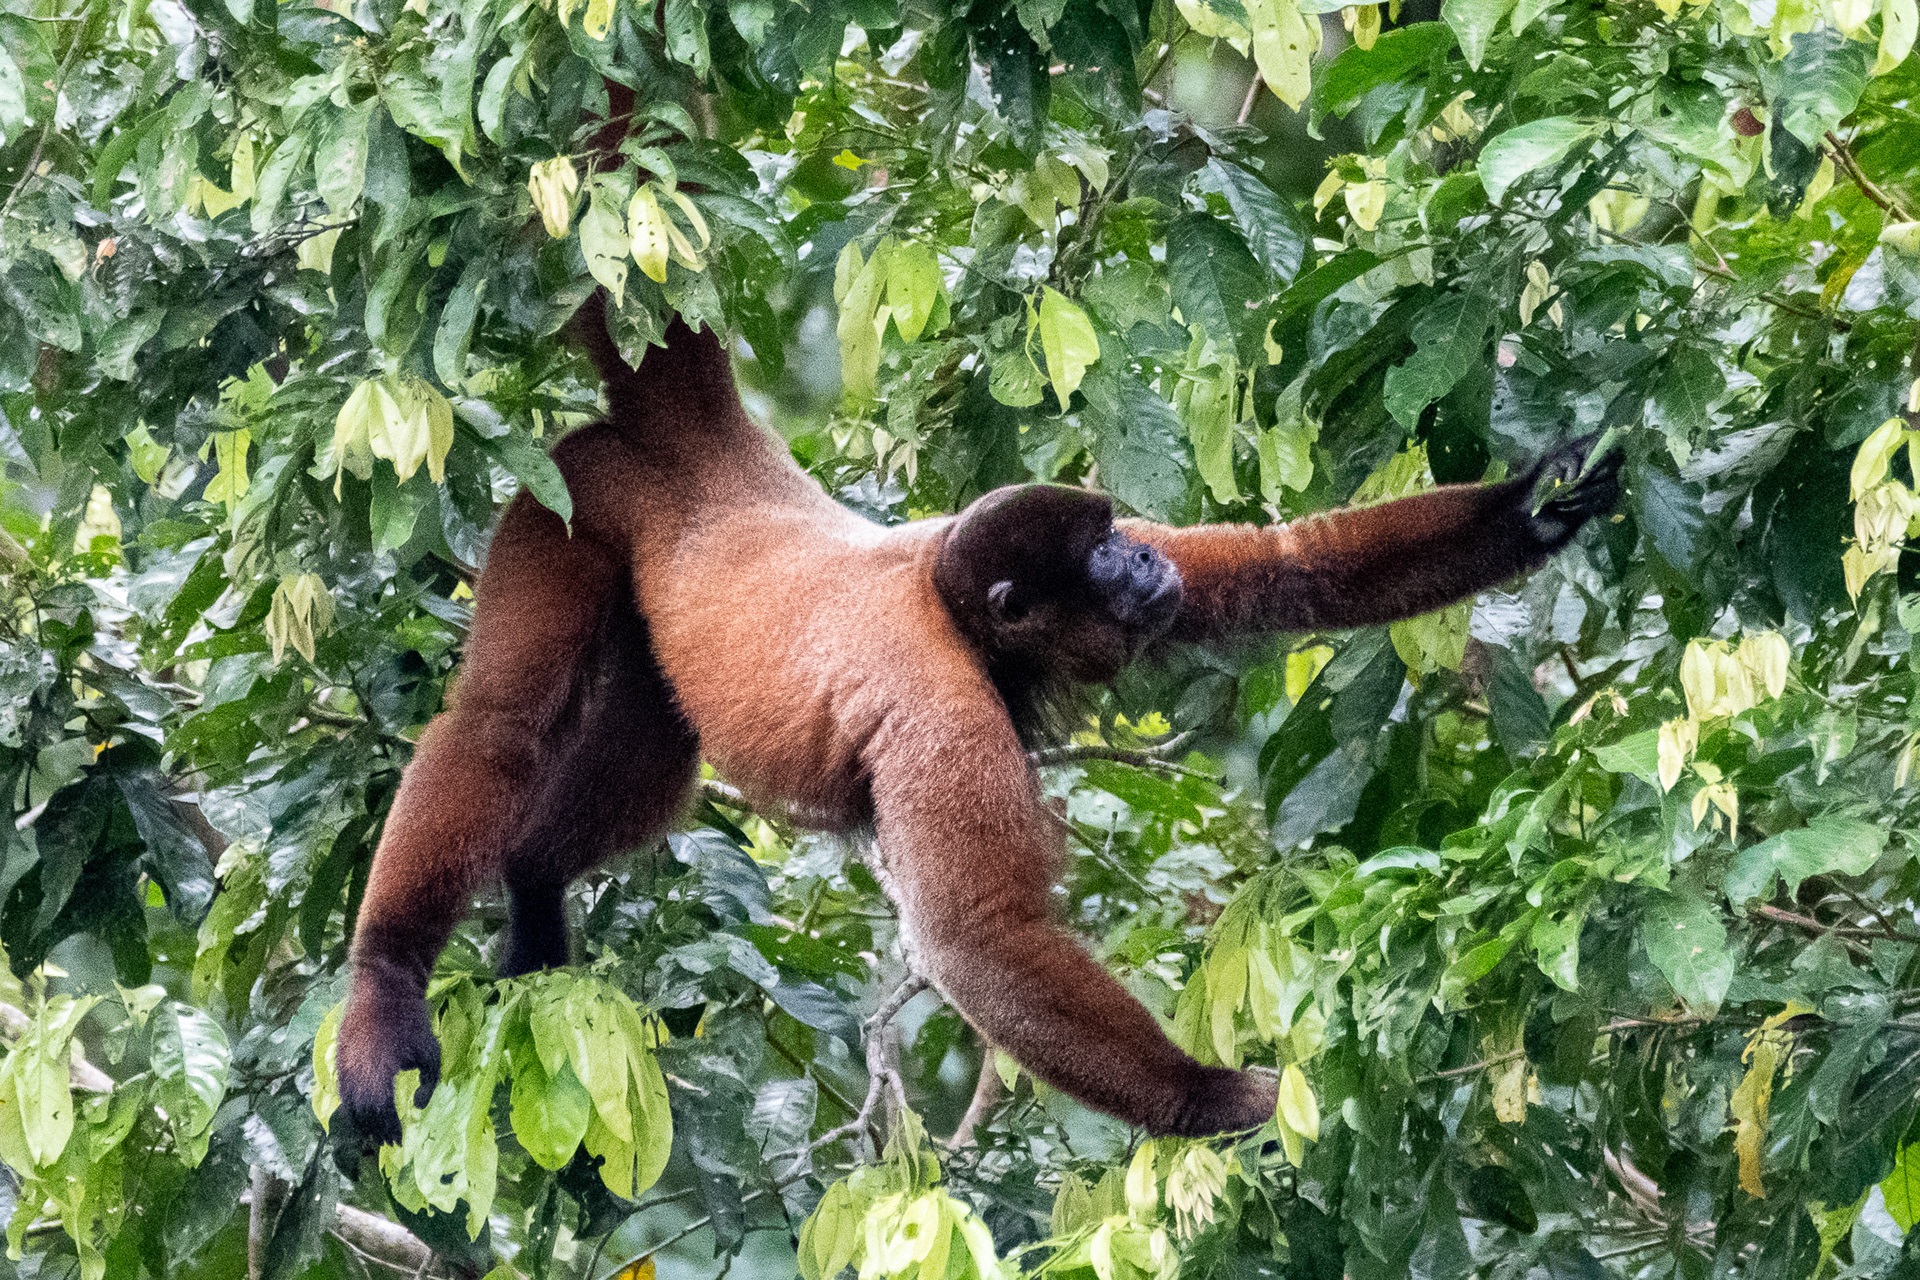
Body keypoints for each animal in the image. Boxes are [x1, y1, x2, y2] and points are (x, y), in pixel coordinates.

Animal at [332, 293, 1621, 1144]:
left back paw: (536, 883)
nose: (1142, 555)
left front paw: (1533, 507)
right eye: (1096, 555)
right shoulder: (936, 704)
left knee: (652, 756)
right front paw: (1209, 1098)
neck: (955, 607)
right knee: (498, 718)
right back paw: (389, 978)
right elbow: (977, 934)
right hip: (572, 495)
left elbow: (1290, 566)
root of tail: (718, 458)